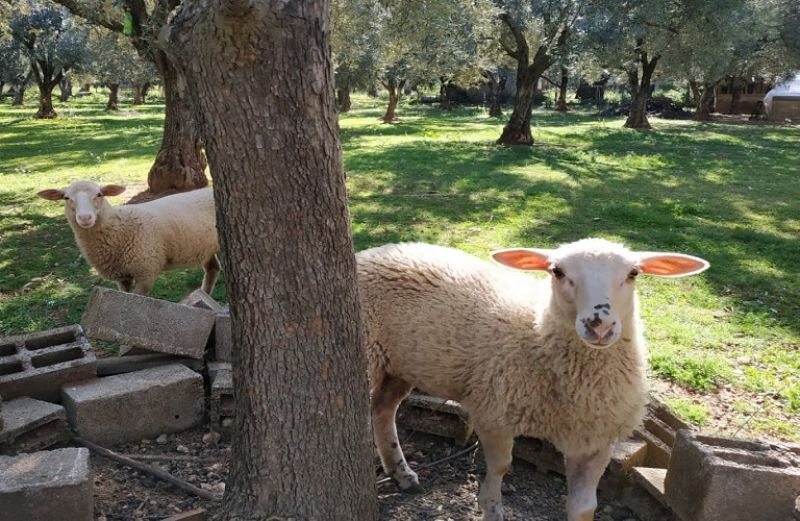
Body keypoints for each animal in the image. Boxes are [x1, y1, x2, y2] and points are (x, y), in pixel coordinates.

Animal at [36, 182, 219, 296]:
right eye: (66, 198)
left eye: (99, 194)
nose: (85, 217)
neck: (118, 227)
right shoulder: (121, 276)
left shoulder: (146, 272)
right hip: (207, 247)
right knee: (213, 269)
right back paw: (204, 296)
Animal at [360, 239, 708, 520]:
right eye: (557, 271)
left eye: (633, 273)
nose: (599, 324)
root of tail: (371, 252)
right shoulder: (494, 414)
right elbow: (501, 467)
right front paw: (491, 509)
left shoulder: (596, 440)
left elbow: (585, 507)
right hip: (371, 358)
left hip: (398, 367)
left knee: (383, 410)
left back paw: (401, 473)